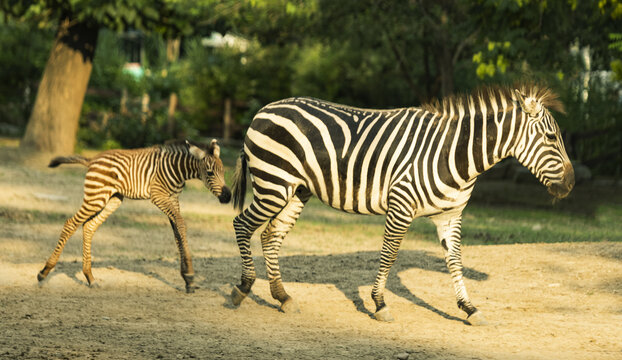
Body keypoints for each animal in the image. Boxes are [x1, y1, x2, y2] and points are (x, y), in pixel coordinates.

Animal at [36, 139, 232, 292]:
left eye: (223, 172)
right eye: (209, 173)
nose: (228, 196)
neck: (177, 170)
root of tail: (92, 159)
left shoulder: (173, 199)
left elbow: (178, 232)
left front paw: (187, 279)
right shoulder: (159, 196)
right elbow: (181, 225)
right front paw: (190, 276)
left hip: (112, 199)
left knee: (89, 226)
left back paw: (90, 277)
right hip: (96, 197)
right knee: (70, 223)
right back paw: (44, 272)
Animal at [232, 83, 576, 324]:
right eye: (551, 138)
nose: (571, 184)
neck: (456, 154)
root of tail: (265, 108)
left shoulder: (450, 215)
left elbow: (455, 260)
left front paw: (468, 308)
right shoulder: (401, 206)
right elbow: (389, 254)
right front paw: (380, 303)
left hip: (296, 190)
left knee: (270, 236)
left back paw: (282, 297)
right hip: (273, 184)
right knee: (242, 224)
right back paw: (243, 288)